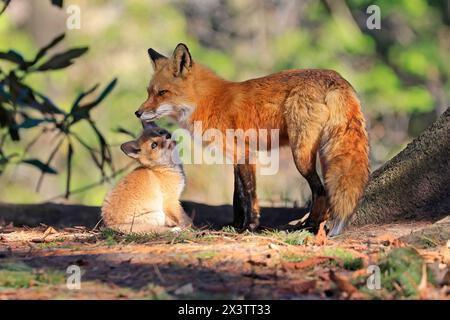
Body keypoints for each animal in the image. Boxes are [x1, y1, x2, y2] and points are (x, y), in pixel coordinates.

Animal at [134, 43, 370, 235]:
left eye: (162, 93)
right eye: (148, 92)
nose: (137, 113)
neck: (208, 101)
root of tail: (336, 77)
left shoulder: (246, 154)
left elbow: (249, 195)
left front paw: (249, 227)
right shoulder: (236, 156)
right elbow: (237, 196)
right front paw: (235, 226)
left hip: (301, 155)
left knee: (319, 190)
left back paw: (309, 225)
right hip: (323, 152)